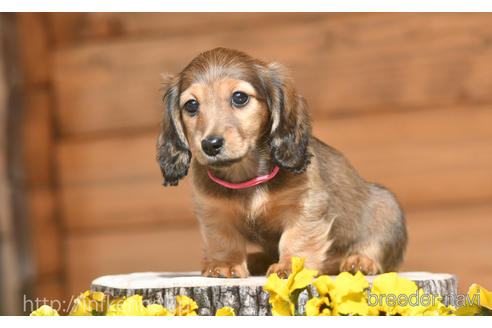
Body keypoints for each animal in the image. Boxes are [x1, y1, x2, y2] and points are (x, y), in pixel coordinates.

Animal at [158, 46, 408, 276]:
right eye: (191, 105)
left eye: (239, 97)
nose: (210, 145)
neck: (245, 176)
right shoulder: (213, 211)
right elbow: (223, 239)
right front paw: (225, 264)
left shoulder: (306, 206)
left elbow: (295, 238)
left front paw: (291, 266)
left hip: (387, 208)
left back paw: (359, 261)